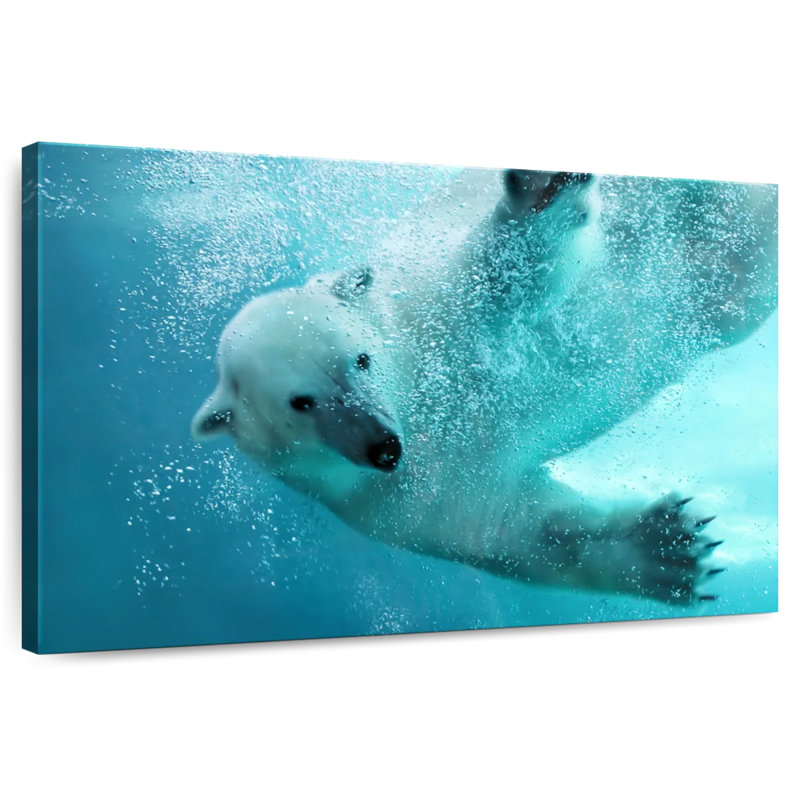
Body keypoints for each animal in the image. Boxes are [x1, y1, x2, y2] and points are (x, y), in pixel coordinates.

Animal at [191, 167, 778, 605]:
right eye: (301, 402)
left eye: (361, 359)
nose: (384, 447)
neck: (418, 398)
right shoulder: (402, 501)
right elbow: (520, 529)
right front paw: (669, 549)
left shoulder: (437, 306)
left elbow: (511, 270)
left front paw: (541, 188)